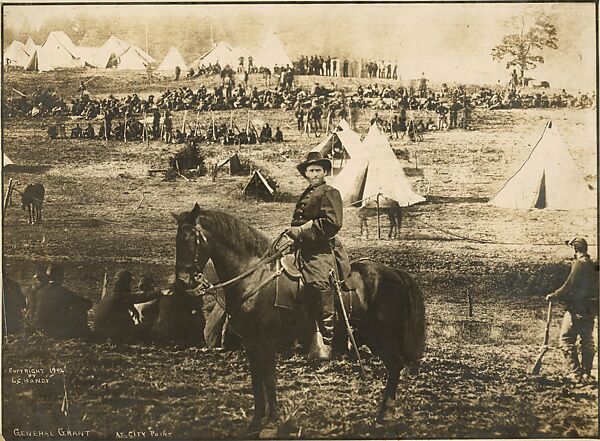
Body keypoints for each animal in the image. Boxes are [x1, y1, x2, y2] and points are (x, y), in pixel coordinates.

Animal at [173, 205, 426, 432]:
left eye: (190, 239)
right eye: (177, 240)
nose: (183, 282)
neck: (255, 277)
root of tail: (395, 274)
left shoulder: (267, 341)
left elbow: (269, 379)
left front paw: (272, 421)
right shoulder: (251, 343)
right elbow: (257, 381)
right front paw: (256, 422)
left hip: (381, 337)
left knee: (395, 366)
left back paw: (382, 416)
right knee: (394, 367)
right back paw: (382, 415)